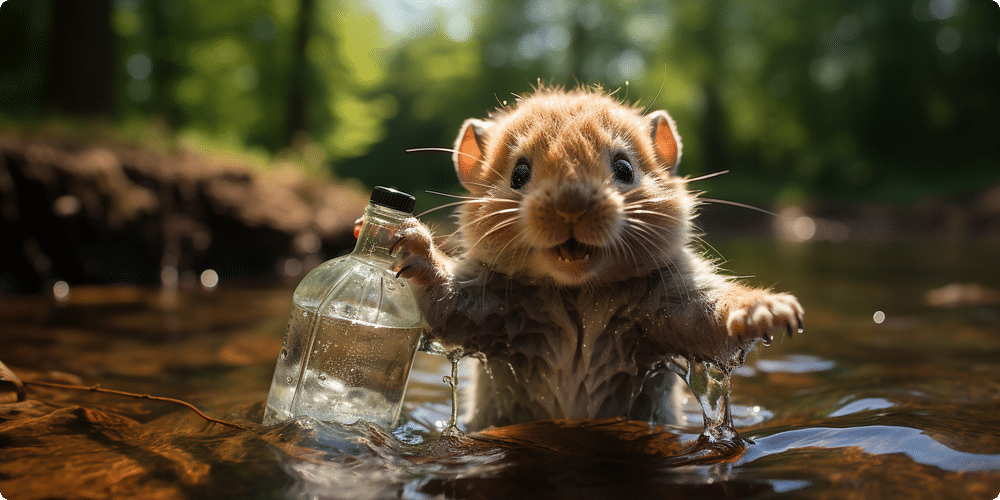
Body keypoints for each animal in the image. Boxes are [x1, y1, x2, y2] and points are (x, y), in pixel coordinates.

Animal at [391, 86, 803, 430]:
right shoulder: (490, 302)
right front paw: (408, 244)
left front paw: (770, 311)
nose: (571, 205)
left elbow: (707, 321)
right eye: (519, 174)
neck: (578, 292)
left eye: (625, 168)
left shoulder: (670, 299)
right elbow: (448, 308)